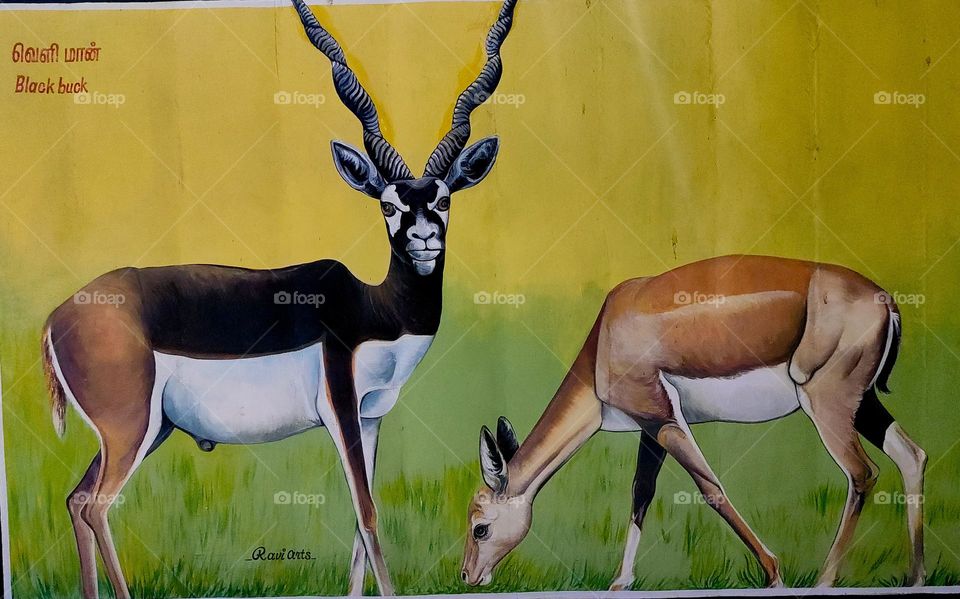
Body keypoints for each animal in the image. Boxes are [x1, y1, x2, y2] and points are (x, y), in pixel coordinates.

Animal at [41, 0, 520, 597]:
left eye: (445, 199)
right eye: (387, 205)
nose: (424, 239)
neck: (377, 309)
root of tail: (57, 317)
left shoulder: (370, 416)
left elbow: (358, 519)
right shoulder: (340, 404)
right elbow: (368, 512)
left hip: (148, 430)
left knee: (76, 498)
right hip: (130, 429)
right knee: (97, 505)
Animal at [461, 255, 927, 591]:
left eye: (480, 527)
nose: (467, 576)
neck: (604, 341)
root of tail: (887, 301)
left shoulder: (665, 419)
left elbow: (711, 489)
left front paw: (774, 574)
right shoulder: (649, 427)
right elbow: (640, 494)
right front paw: (620, 582)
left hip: (828, 404)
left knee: (862, 472)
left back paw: (824, 581)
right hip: (863, 405)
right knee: (912, 455)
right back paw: (915, 577)